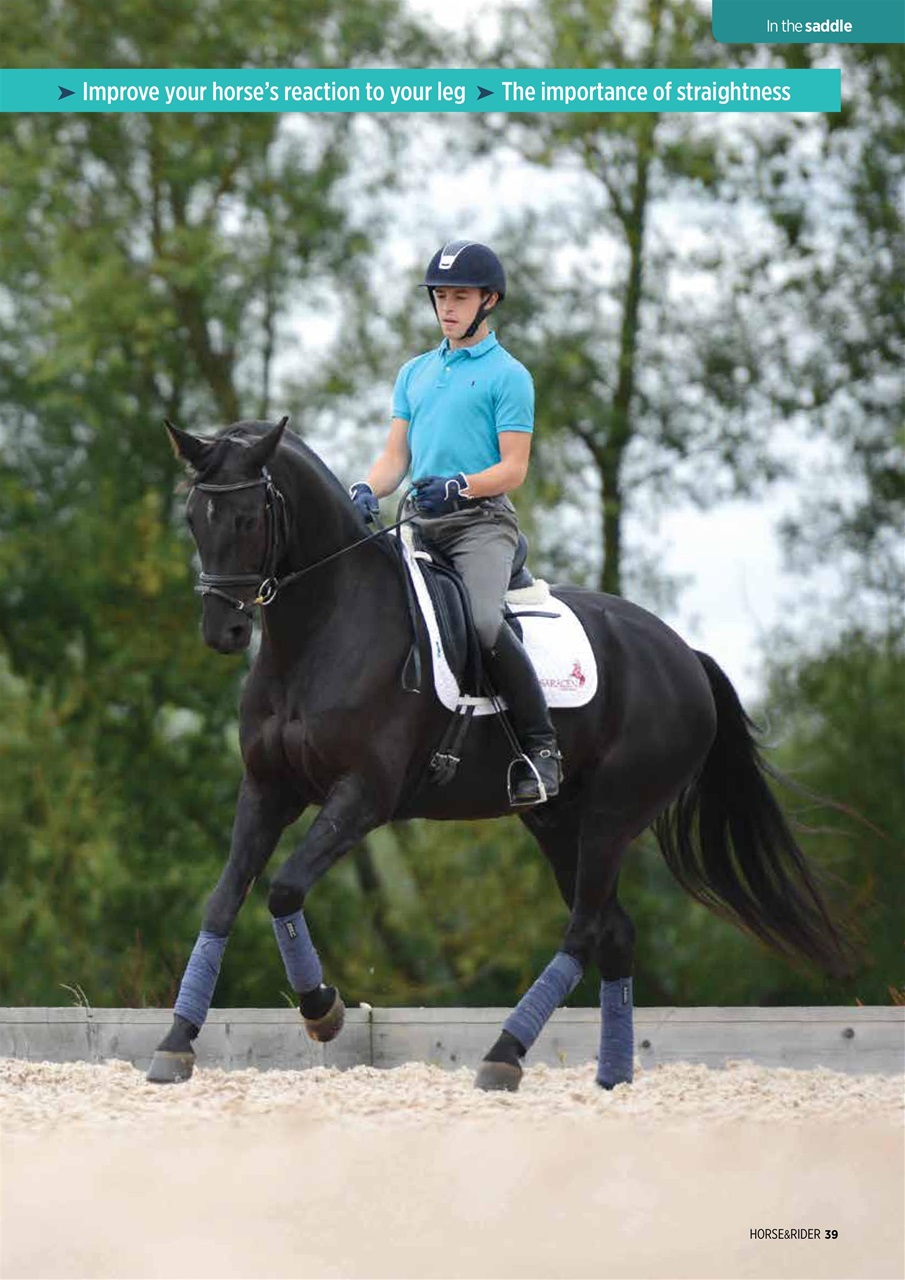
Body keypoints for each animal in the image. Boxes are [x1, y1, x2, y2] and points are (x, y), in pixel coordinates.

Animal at [147, 416, 852, 1090]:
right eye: (193, 519)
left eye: (248, 518)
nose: (223, 631)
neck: (323, 631)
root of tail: (683, 655)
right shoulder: (268, 789)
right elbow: (225, 899)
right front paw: (176, 1044)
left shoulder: (363, 797)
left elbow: (284, 888)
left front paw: (323, 1010)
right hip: (558, 821)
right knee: (614, 931)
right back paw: (610, 1076)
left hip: (612, 815)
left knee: (586, 929)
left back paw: (503, 1056)